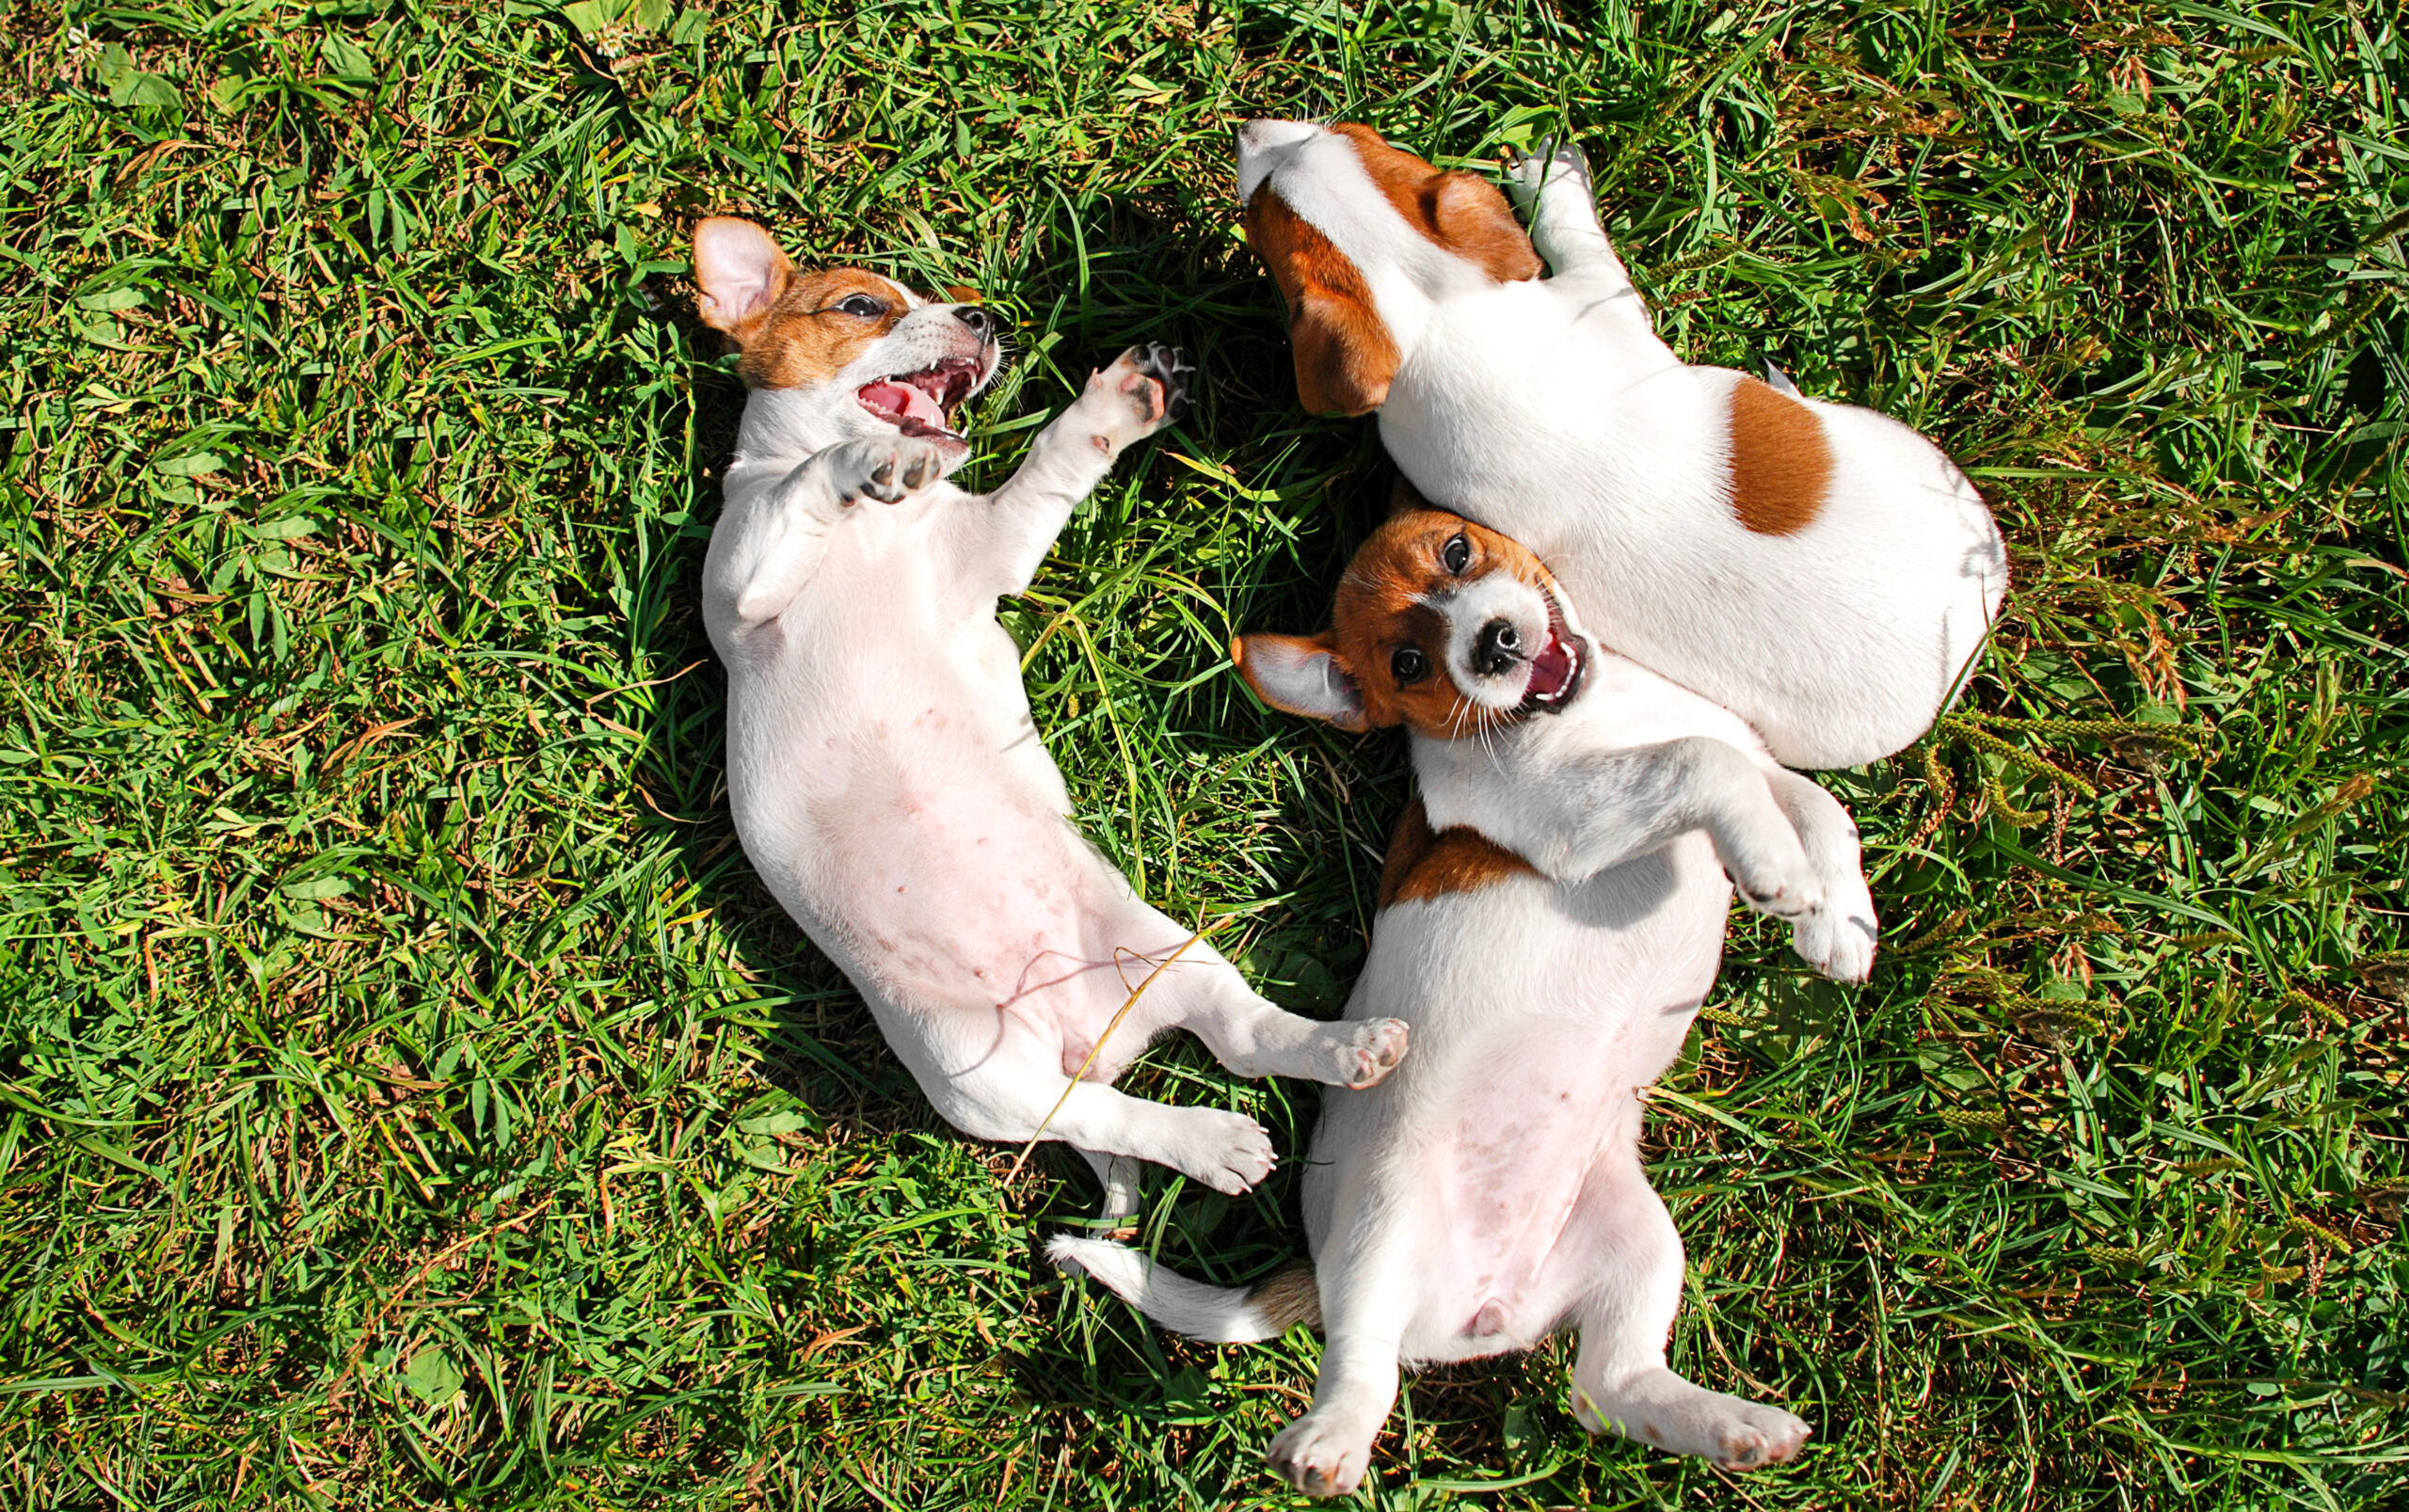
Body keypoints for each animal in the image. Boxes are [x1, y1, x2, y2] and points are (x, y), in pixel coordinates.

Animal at [689, 221, 1407, 1218]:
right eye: (863, 305)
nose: (981, 317)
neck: (882, 532)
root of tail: (1086, 1041)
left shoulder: (981, 552)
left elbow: (1053, 465)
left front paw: (1122, 400)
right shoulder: (742, 582)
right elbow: (805, 480)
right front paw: (860, 463)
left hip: (1171, 954)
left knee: (1242, 1039)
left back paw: (1346, 1048)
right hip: (979, 1076)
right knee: (1112, 1115)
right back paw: (1217, 1141)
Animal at [1045, 502, 1869, 1492]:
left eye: (1457, 550)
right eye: (1408, 664)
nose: (1496, 641)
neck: (1602, 711)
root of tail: (1486, 1312)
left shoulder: (1745, 757)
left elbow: (1813, 800)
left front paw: (1839, 920)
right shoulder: (1580, 817)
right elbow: (1700, 764)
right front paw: (1777, 870)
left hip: (1642, 1240)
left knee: (1609, 1387)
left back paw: (1735, 1428)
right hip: (1384, 1226)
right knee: (1363, 1366)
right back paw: (1326, 1443)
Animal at [1233, 123, 2003, 774]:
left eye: (1342, 131)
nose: (1246, 129)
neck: (1441, 319)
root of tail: (1973, 624)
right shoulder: (1596, 295)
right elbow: (1577, 236)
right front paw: (1553, 177)